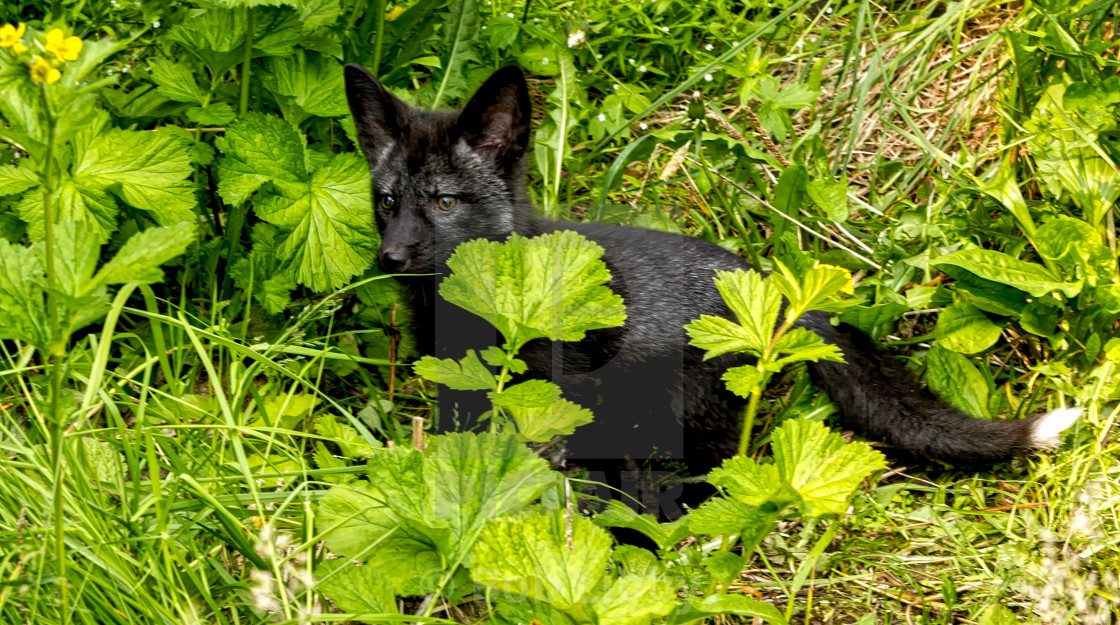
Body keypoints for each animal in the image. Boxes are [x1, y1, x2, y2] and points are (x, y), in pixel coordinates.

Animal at [340, 62, 1075, 515]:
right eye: (387, 199)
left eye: (444, 200)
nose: (391, 254)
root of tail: (774, 296)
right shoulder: (462, 395)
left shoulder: (560, 404)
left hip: (673, 422)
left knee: (699, 487)